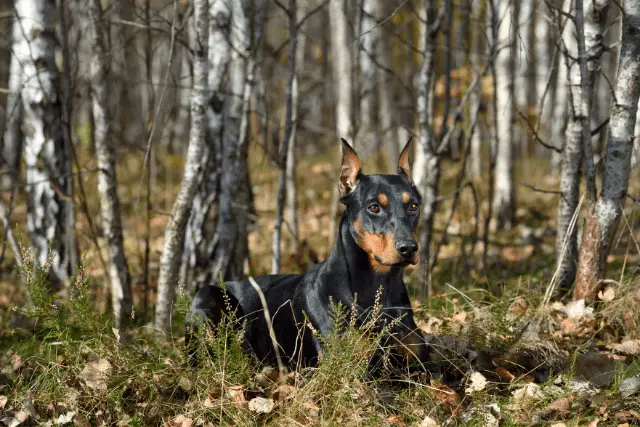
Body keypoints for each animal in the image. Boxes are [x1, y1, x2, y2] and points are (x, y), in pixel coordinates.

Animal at [185, 139, 436, 376]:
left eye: (413, 206)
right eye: (374, 207)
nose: (408, 248)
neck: (378, 285)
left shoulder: (422, 366)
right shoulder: (345, 366)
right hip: (207, 297)